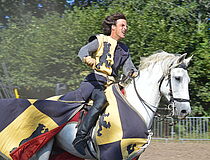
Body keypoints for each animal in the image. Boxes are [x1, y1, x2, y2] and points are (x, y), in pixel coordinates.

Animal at [28, 50, 192, 159]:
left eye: (188, 80)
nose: (185, 111)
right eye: (177, 78)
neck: (136, 106)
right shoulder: (110, 153)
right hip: (43, 150)